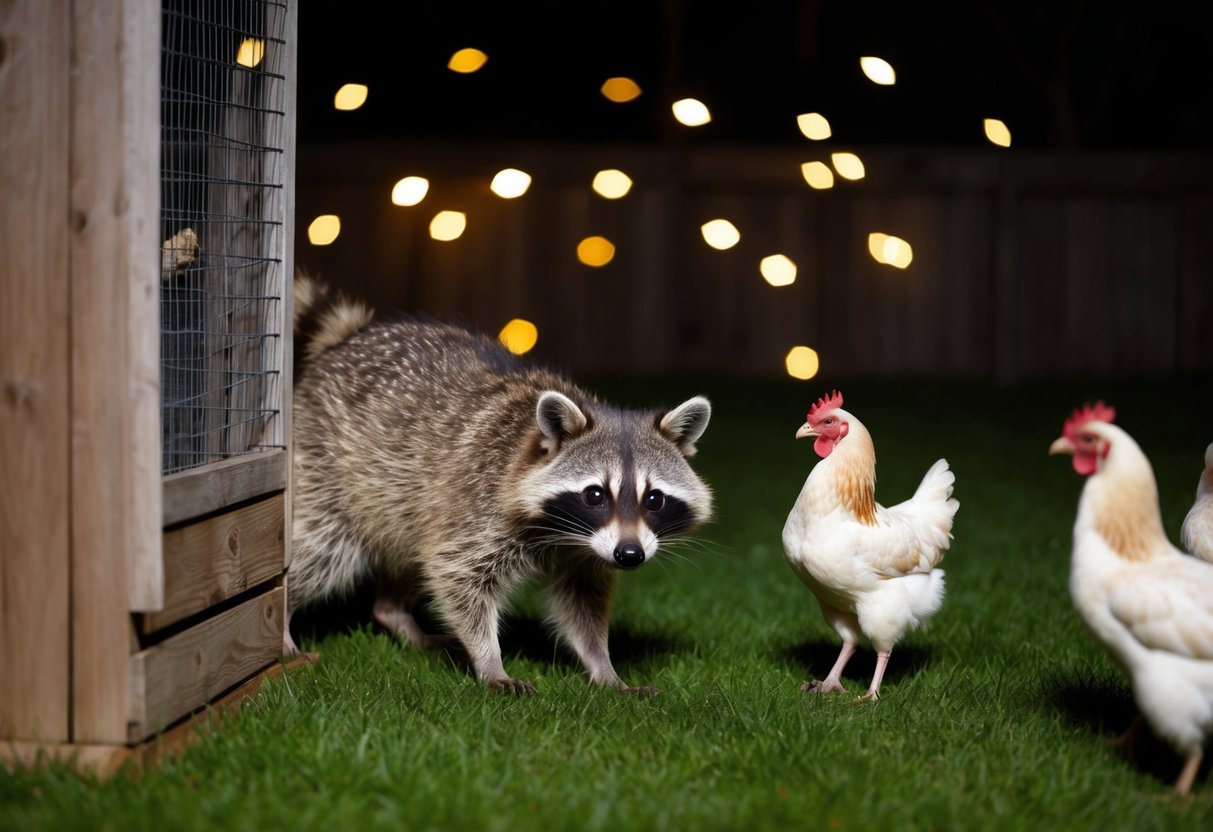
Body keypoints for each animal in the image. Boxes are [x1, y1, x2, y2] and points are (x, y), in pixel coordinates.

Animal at [287, 273, 713, 693]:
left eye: (654, 499)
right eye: (595, 495)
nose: (630, 555)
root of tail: (347, 340)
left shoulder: (588, 552)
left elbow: (582, 605)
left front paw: (603, 665)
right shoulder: (479, 507)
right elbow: (456, 575)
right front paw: (490, 661)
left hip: (402, 501)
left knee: (410, 548)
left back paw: (392, 611)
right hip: (328, 467)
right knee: (321, 550)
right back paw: (284, 620)